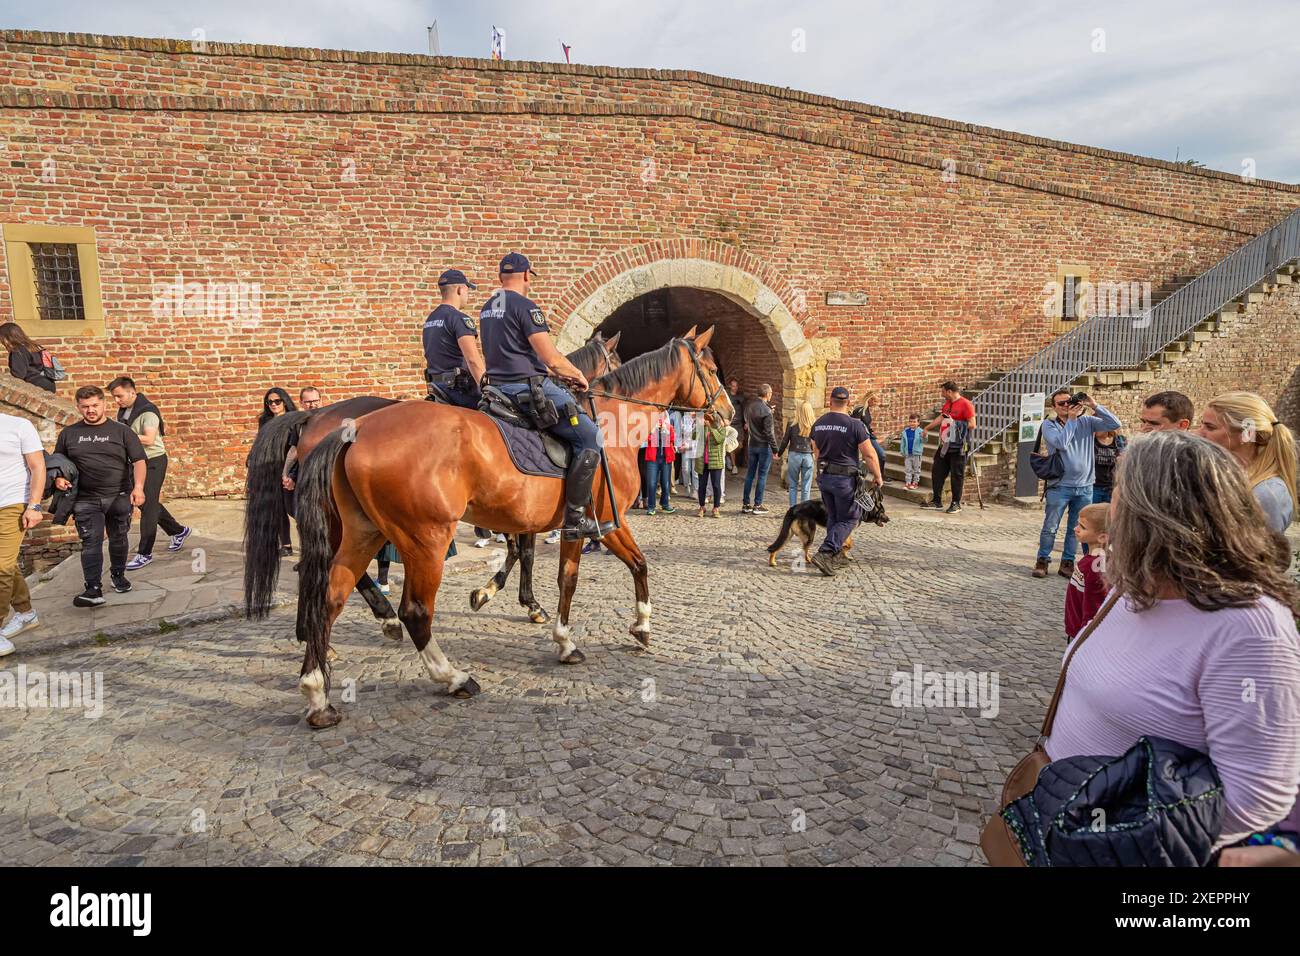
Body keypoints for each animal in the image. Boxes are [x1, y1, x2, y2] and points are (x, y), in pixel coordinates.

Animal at [246, 332, 624, 639]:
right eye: (616, 358)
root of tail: (313, 416)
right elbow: (524, 553)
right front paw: (523, 602)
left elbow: (521, 551)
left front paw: (497, 594)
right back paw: (383, 616)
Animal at [291, 325, 733, 728]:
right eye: (712, 369)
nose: (728, 412)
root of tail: (355, 428)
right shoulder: (606, 522)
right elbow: (599, 571)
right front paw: (608, 631)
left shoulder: (556, 524)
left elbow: (558, 567)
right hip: (426, 539)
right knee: (415, 611)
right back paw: (452, 676)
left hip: (363, 531)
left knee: (331, 596)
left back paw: (318, 692)